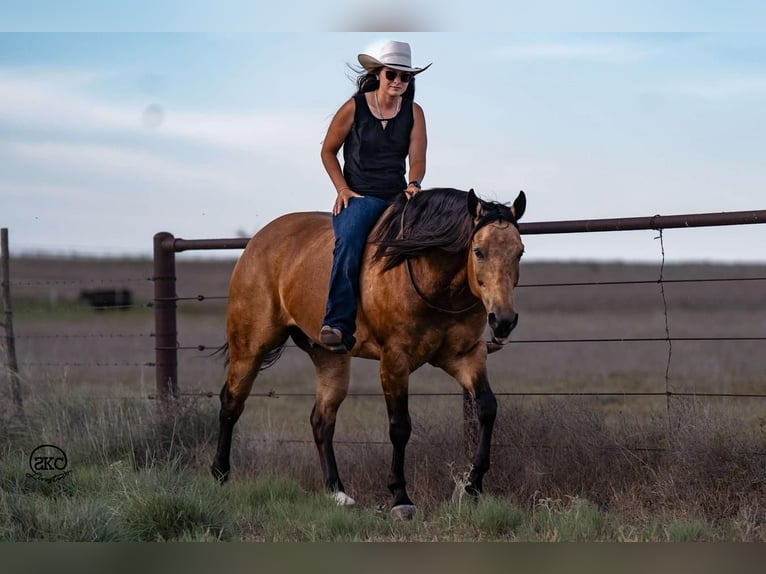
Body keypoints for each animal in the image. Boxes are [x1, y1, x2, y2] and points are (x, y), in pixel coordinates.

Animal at [210, 187, 524, 520]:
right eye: (478, 251)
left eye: (519, 252)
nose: (503, 320)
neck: (429, 278)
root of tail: (257, 242)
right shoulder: (394, 361)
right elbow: (400, 426)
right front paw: (400, 497)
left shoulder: (466, 356)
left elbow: (487, 408)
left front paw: (473, 485)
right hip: (250, 346)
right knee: (231, 403)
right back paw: (219, 475)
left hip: (329, 356)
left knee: (321, 419)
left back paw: (336, 492)